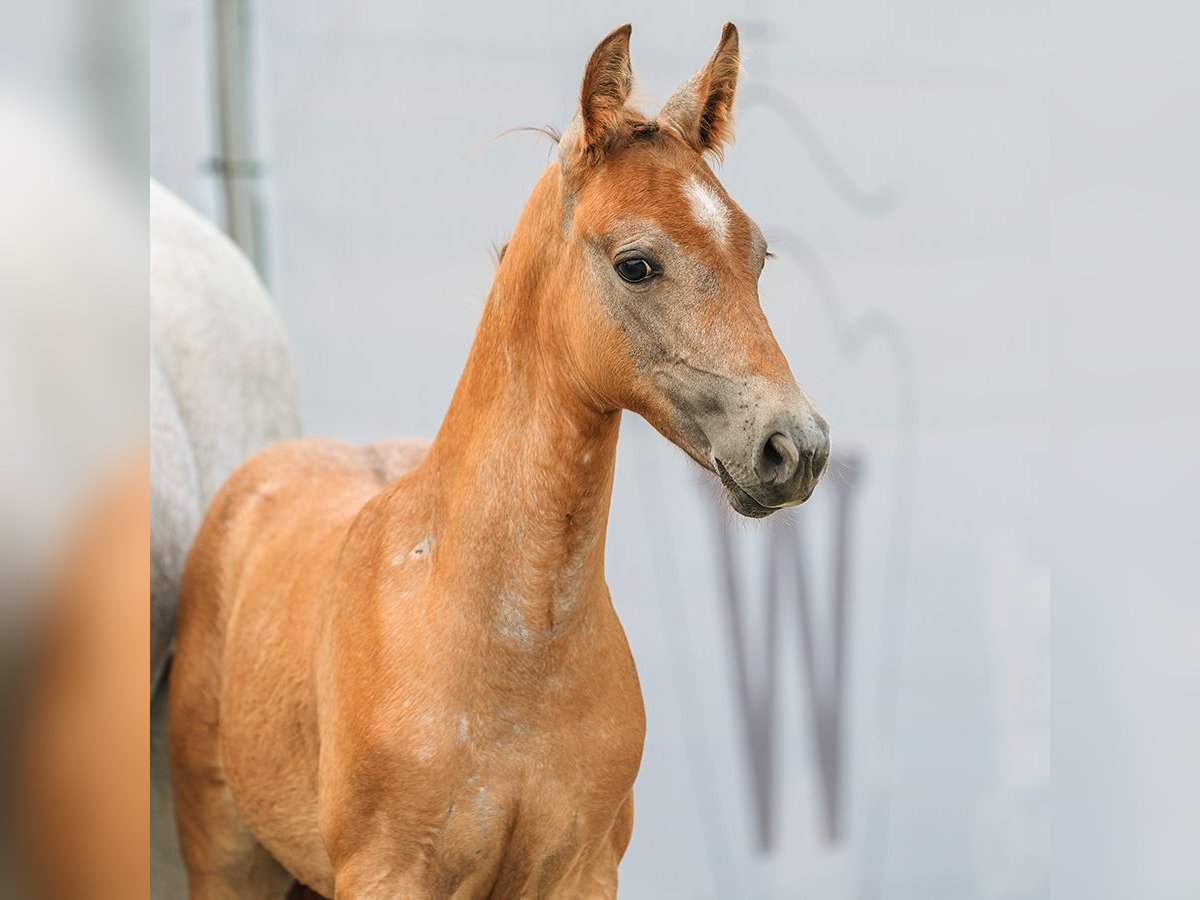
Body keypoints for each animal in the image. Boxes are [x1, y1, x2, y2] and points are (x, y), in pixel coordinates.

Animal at [171, 24, 825, 897]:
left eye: (757, 256)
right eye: (637, 264)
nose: (795, 447)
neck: (513, 653)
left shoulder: (584, 871)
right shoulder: (386, 874)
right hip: (226, 857)